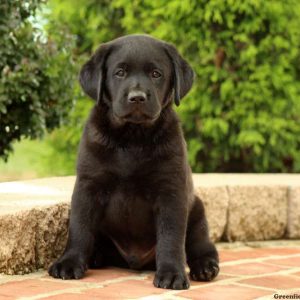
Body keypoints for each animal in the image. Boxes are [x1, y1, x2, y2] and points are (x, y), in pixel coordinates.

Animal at [48, 34, 218, 290]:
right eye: (119, 72)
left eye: (156, 74)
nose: (137, 97)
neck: (132, 138)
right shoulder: (88, 186)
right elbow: (79, 228)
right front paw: (69, 262)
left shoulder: (171, 192)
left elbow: (171, 237)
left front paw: (172, 273)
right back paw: (94, 257)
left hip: (197, 212)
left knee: (202, 245)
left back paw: (205, 267)